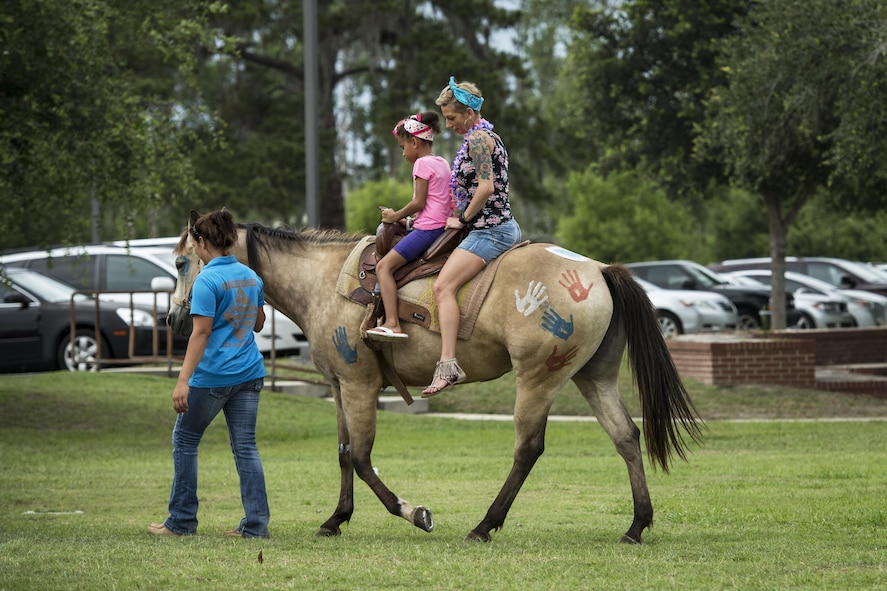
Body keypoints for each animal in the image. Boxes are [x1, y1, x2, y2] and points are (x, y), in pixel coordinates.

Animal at [167, 213, 702, 544]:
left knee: (528, 449)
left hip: (538, 379)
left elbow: (361, 458)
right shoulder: (340, 387)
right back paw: (636, 525)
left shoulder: (359, 386)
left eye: (179, 261)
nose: (175, 318)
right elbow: (343, 453)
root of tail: (596, 270)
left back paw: (485, 525)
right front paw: (336, 519)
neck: (324, 282)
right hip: (593, 378)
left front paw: (414, 513)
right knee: (626, 437)